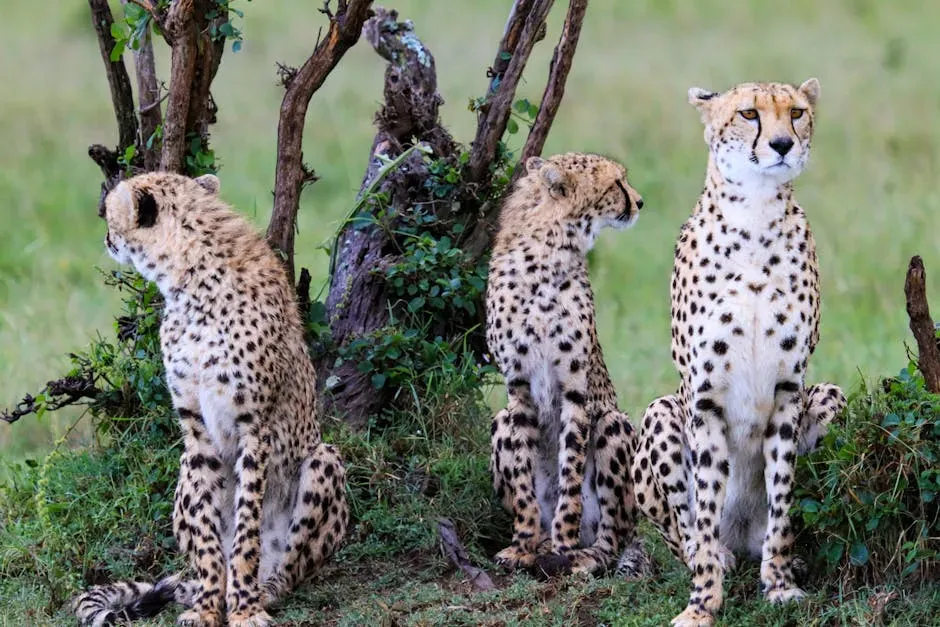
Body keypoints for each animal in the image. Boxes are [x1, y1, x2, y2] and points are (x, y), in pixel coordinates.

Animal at [71, 172, 349, 627]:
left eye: (109, 213)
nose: (107, 238)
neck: (189, 286)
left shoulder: (254, 427)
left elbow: (246, 528)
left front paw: (244, 609)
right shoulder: (196, 430)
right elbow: (207, 533)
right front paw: (206, 607)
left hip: (323, 458)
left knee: (290, 567)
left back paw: (263, 589)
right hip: (184, 468)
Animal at [486, 152, 650, 578]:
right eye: (616, 184)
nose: (640, 202)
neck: (548, 253)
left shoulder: (575, 389)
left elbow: (570, 471)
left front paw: (563, 544)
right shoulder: (518, 389)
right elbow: (524, 480)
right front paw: (522, 546)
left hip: (613, 424)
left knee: (612, 536)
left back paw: (582, 554)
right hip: (499, 420)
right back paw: (541, 542)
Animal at [630, 79, 847, 626]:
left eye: (797, 113)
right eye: (749, 114)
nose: (782, 144)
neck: (755, 214)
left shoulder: (790, 390)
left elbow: (783, 498)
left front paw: (781, 585)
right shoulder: (704, 398)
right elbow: (705, 511)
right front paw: (702, 604)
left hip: (830, 395)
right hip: (660, 412)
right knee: (682, 532)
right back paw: (714, 556)